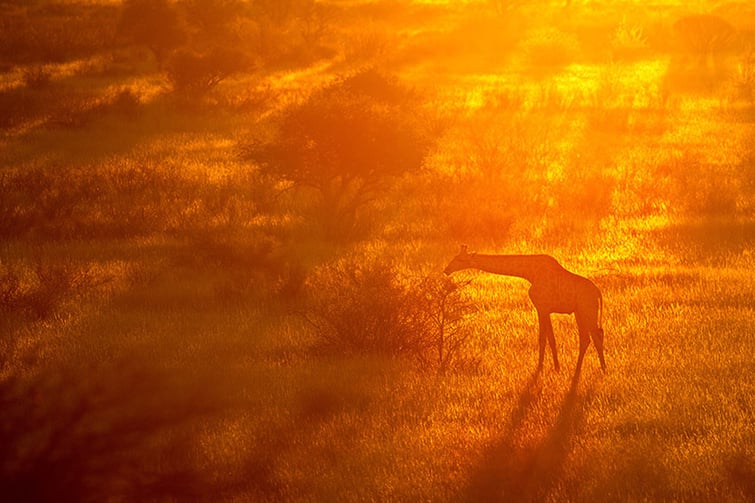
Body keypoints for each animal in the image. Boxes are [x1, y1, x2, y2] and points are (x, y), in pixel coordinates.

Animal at [444, 245, 606, 374]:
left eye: (460, 259)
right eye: (454, 257)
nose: (446, 270)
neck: (529, 273)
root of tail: (598, 293)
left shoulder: (542, 307)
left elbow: (543, 339)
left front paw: (541, 368)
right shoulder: (545, 309)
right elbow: (550, 338)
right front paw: (556, 367)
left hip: (588, 311)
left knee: (596, 336)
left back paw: (603, 369)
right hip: (580, 313)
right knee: (587, 338)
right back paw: (579, 370)